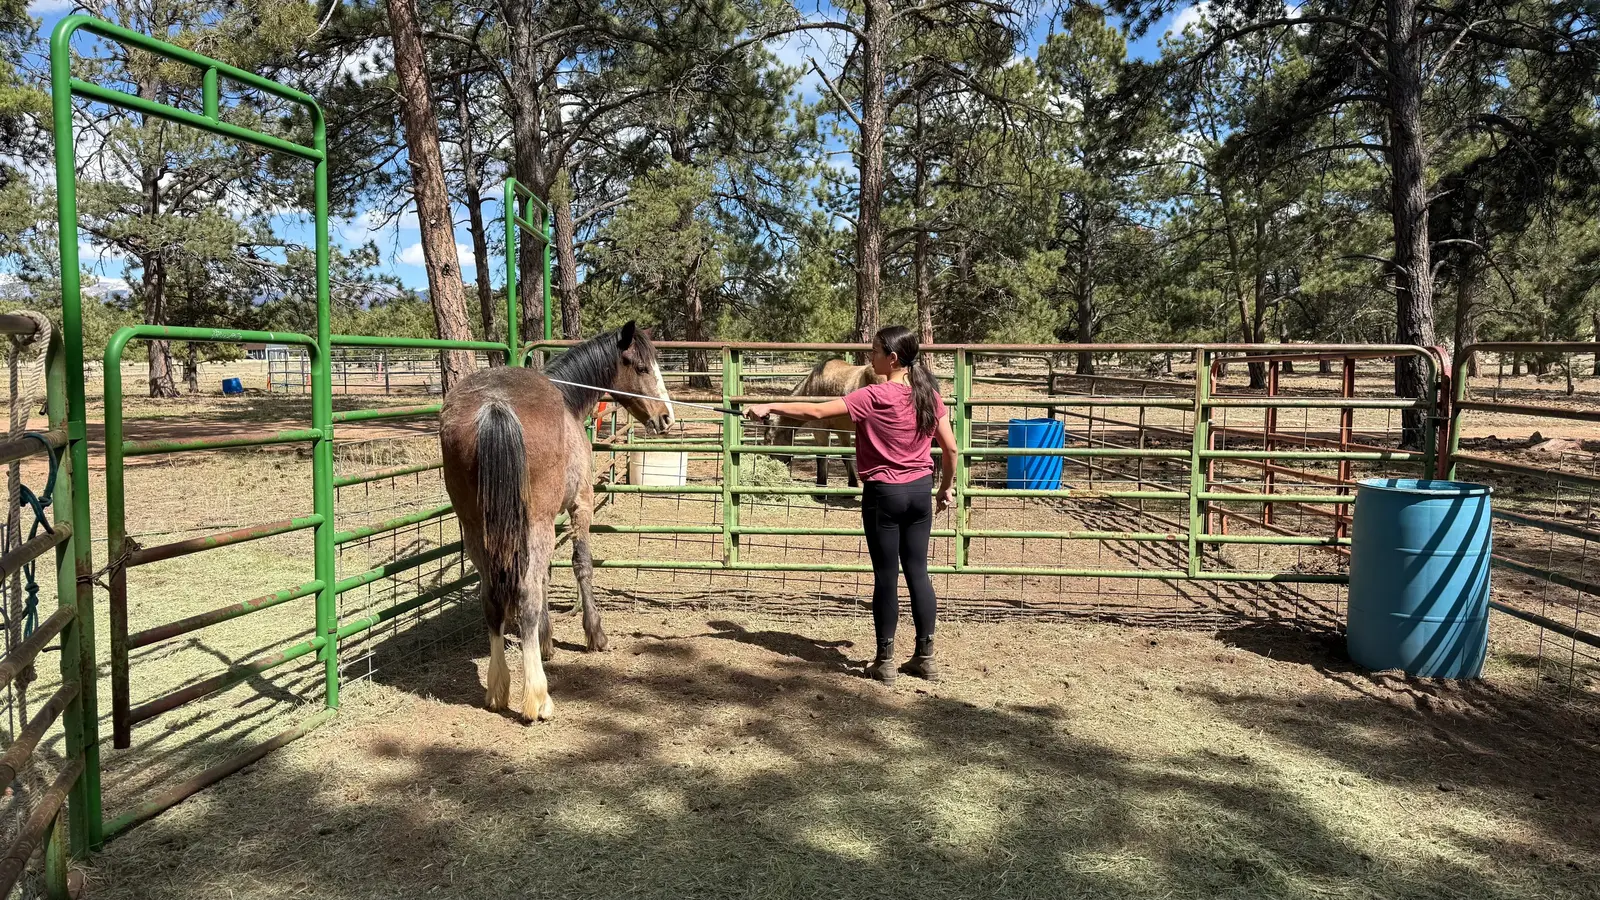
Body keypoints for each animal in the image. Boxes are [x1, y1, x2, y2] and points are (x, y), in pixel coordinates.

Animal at [439, 322, 673, 722]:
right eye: (643, 368)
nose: (667, 417)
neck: (567, 399)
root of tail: (494, 405)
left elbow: (546, 576)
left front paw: (546, 641)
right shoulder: (580, 505)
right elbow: (581, 565)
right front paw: (594, 634)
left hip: (476, 529)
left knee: (493, 599)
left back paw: (498, 689)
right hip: (536, 525)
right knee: (526, 595)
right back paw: (537, 698)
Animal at [767, 357, 883, 487]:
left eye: (769, 439)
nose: (772, 462)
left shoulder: (819, 431)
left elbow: (821, 456)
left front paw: (821, 485)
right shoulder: (842, 431)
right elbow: (846, 455)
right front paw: (852, 483)